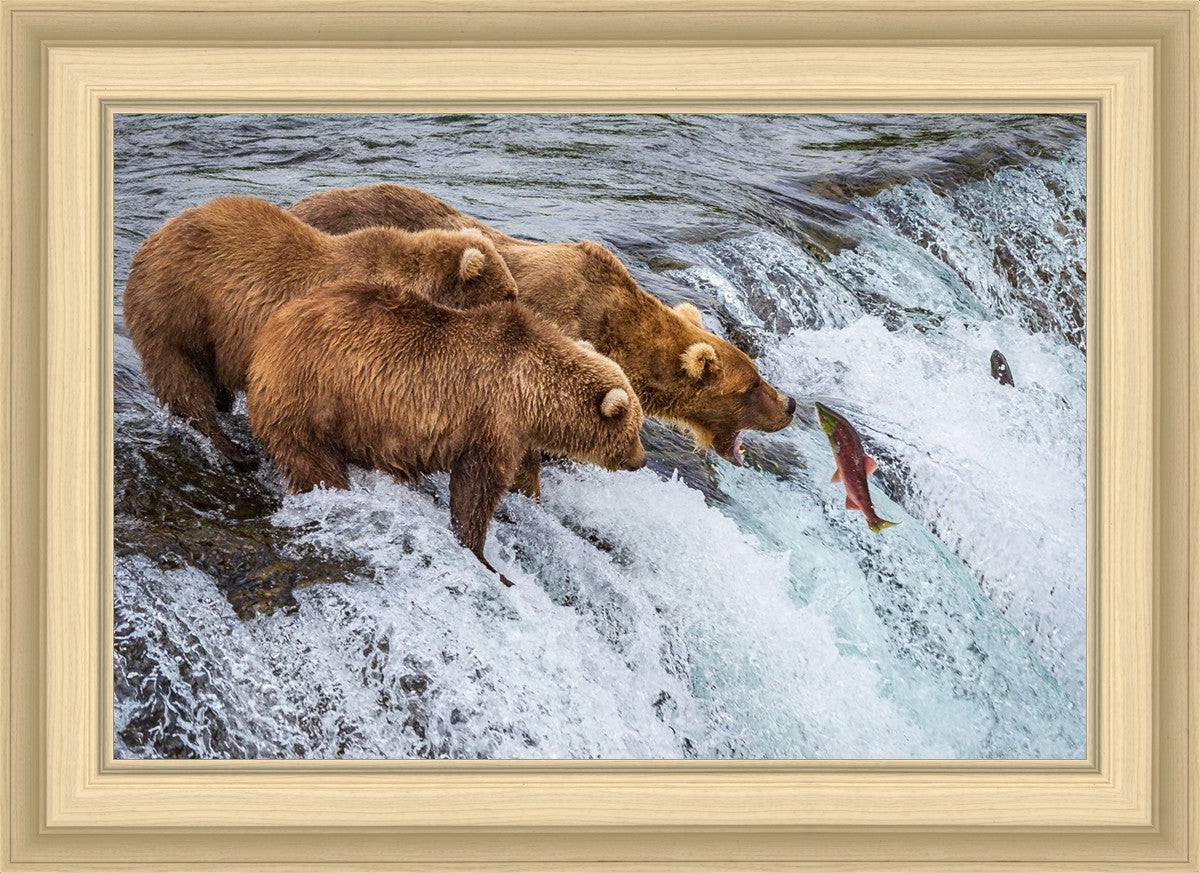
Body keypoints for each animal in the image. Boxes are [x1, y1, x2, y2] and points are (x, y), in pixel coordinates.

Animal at [123, 195, 520, 470]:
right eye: (508, 294)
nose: (520, 310)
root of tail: (148, 242)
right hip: (178, 310)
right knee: (183, 381)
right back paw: (234, 450)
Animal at [245, 279, 646, 587]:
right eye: (635, 429)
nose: (641, 460)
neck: (532, 392)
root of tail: (267, 336)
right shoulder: (492, 417)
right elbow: (477, 487)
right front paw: (485, 557)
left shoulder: (517, 433)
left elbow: (521, 476)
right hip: (312, 397)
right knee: (314, 462)